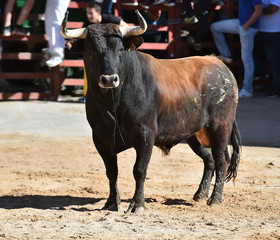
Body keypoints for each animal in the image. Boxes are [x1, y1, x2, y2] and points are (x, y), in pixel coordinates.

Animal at [60, 10, 241, 214]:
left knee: (221, 160)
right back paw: (200, 194)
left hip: (220, 127)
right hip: (193, 134)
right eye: (91, 51)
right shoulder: (100, 138)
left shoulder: (145, 135)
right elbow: (112, 171)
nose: (109, 79)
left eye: (120, 49)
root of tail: (218, 64)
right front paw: (112, 202)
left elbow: (139, 169)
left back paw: (215, 199)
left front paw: (137, 204)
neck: (113, 103)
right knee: (209, 160)